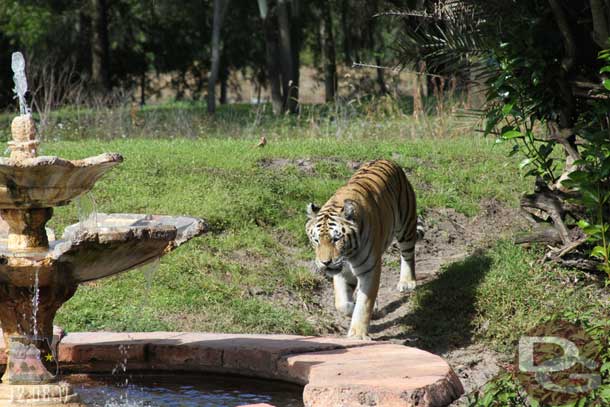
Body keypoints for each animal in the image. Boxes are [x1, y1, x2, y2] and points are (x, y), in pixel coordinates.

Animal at [304, 159, 418, 342]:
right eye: (316, 240)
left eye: (336, 239)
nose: (325, 263)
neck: (349, 254)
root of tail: (387, 159)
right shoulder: (342, 271)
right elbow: (341, 304)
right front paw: (356, 308)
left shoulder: (370, 269)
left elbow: (365, 303)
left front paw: (358, 334)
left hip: (406, 223)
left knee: (408, 253)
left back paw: (407, 282)